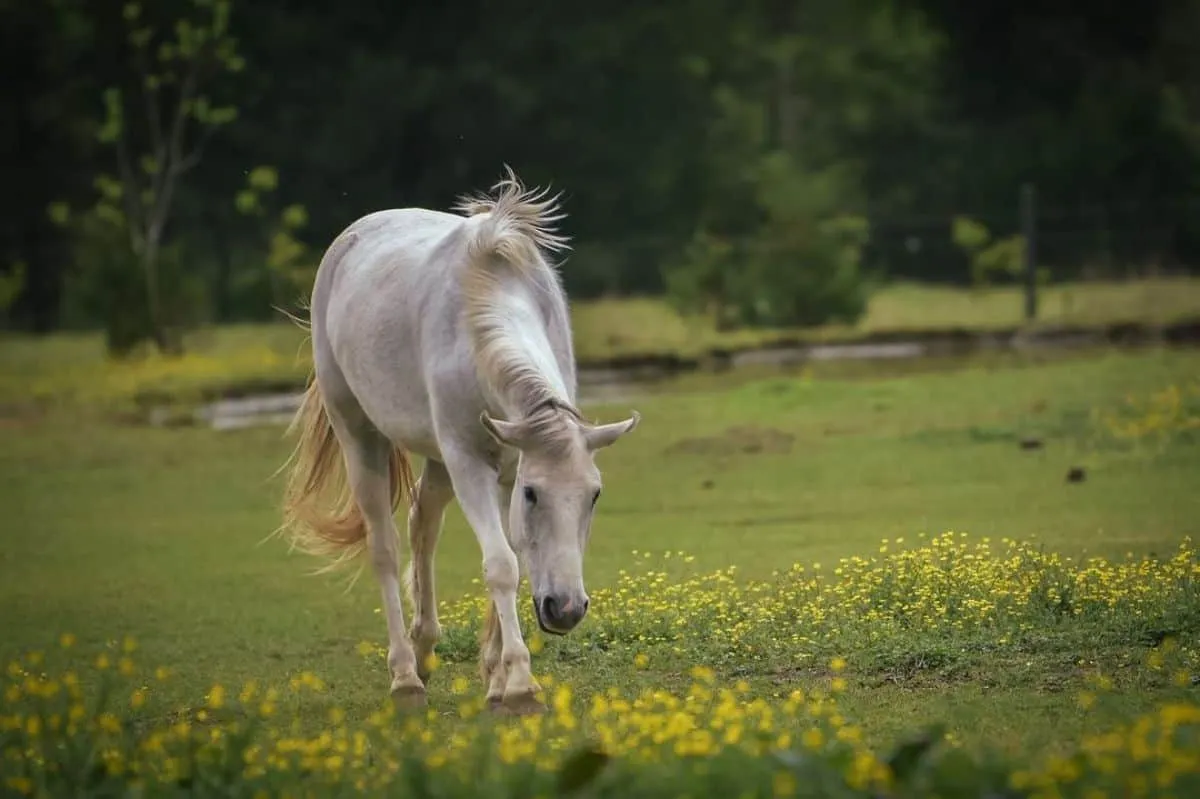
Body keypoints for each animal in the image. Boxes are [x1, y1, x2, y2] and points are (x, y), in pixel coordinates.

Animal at [275, 167, 640, 716]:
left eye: (594, 495)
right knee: (384, 547)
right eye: (534, 494)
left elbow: (513, 555)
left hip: (438, 462)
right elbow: (502, 565)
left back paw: (426, 648)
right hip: (360, 435)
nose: (566, 609)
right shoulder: (471, 463)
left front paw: (496, 678)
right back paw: (406, 675)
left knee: (422, 523)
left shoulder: (504, 464)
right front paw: (520, 686)